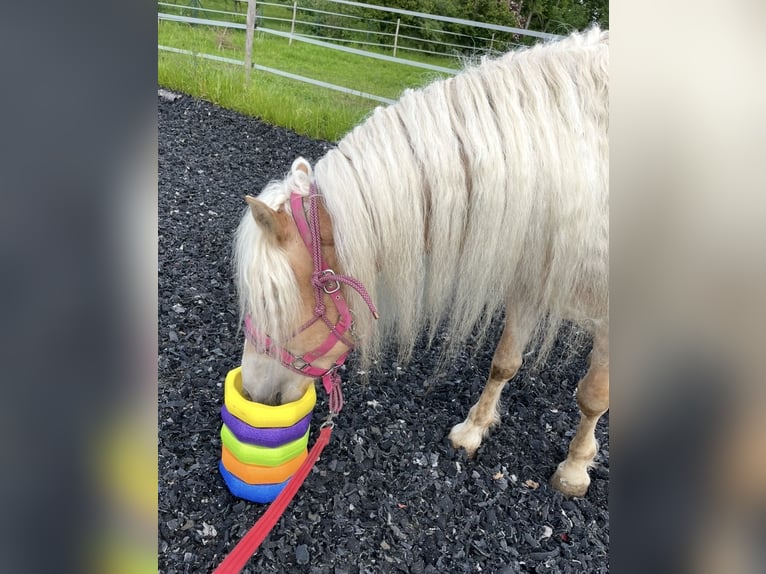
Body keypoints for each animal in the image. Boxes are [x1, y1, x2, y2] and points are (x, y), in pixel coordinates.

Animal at [231, 27, 608, 498]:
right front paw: (473, 430)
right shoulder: (531, 276)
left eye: (273, 304)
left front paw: (575, 469)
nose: (253, 391)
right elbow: (504, 362)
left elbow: (593, 397)